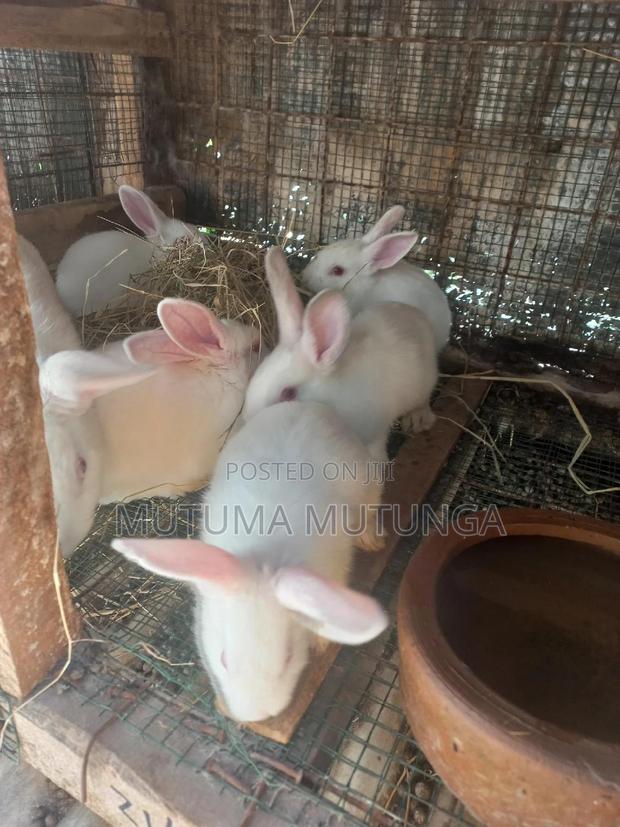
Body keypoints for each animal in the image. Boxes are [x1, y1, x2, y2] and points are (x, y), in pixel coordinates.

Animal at [112, 399, 389, 722]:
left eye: (289, 657)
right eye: (223, 659)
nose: (256, 715)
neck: (262, 560)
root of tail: (303, 405)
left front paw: (320, 642)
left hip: (366, 485)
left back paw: (371, 541)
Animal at [242, 248, 438, 460]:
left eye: (288, 393)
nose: (248, 422)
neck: (335, 394)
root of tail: (413, 312)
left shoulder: (376, 430)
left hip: (424, 383)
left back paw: (419, 419)